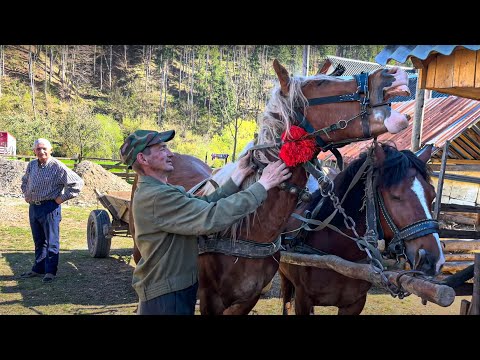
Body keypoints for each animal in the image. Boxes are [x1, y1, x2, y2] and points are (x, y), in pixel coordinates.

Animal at [278, 143, 446, 316]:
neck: (337, 256)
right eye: (395, 196)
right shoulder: (302, 299)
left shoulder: (354, 304)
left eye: (432, 195)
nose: (433, 261)